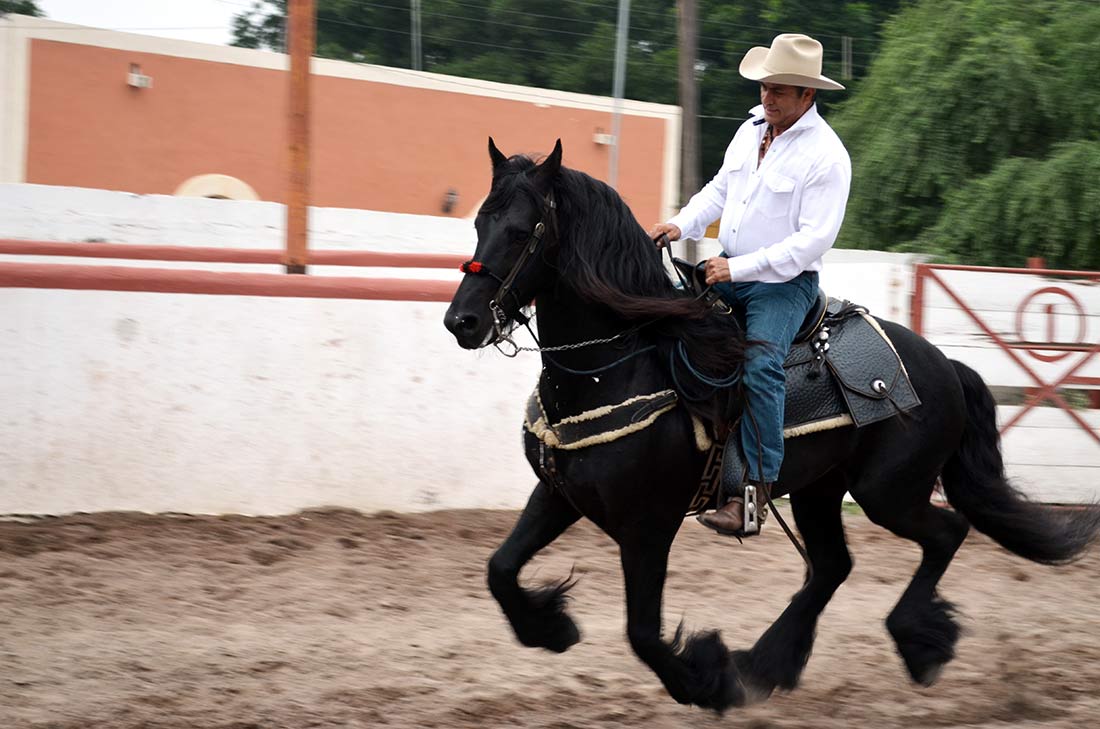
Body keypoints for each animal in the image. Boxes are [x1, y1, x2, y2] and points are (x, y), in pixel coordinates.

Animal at [442, 138, 1100, 713]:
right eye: (479, 222)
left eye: (523, 231)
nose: (462, 321)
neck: (622, 363)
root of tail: (945, 365)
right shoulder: (559, 494)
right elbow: (500, 569)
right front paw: (550, 629)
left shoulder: (648, 526)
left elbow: (643, 632)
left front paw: (710, 683)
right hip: (820, 490)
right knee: (834, 565)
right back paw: (769, 662)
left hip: (888, 491)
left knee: (946, 532)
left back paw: (916, 644)